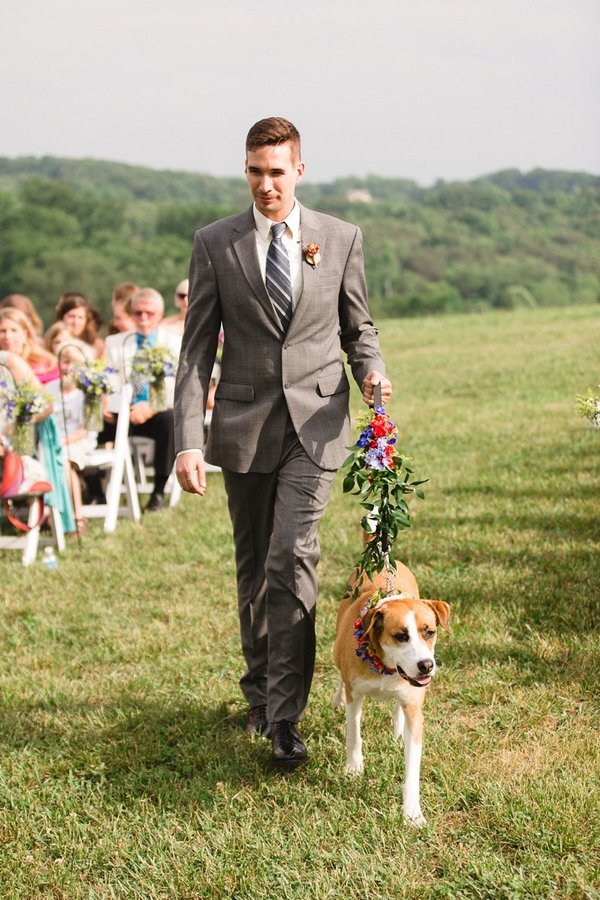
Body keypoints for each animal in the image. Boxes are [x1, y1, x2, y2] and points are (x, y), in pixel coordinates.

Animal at [332, 568, 450, 828]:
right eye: (401, 636)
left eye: (430, 632)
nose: (426, 665)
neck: (386, 665)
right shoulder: (355, 694)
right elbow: (353, 734)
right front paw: (354, 768)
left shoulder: (415, 708)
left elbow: (412, 766)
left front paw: (413, 813)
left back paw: (397, 729)